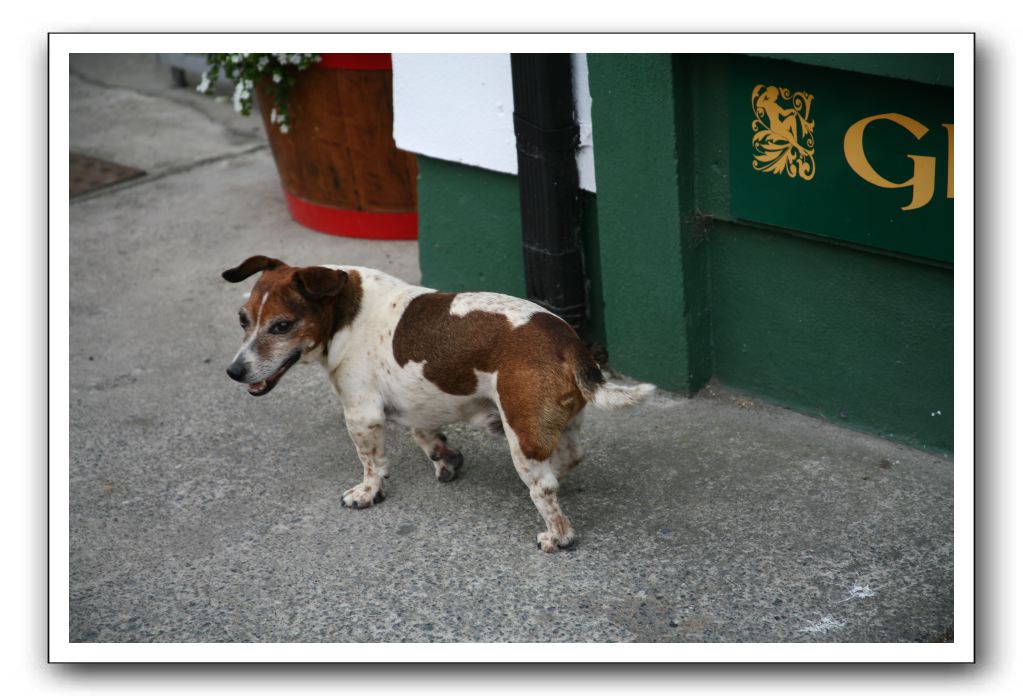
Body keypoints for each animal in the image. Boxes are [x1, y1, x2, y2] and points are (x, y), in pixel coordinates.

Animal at [224, 252, 654, 552]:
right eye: (243, 320)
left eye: (282, 326)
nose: (234, 371)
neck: (345, 311)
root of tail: (567, 342)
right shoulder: (414, 404)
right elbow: (424, 433)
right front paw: (445, 457)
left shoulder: (362, 415)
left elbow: (372, 463)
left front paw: (368, 493)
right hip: (556, 425)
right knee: (569, 458)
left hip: (521, 433)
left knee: (546, 492)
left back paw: (556, 536)